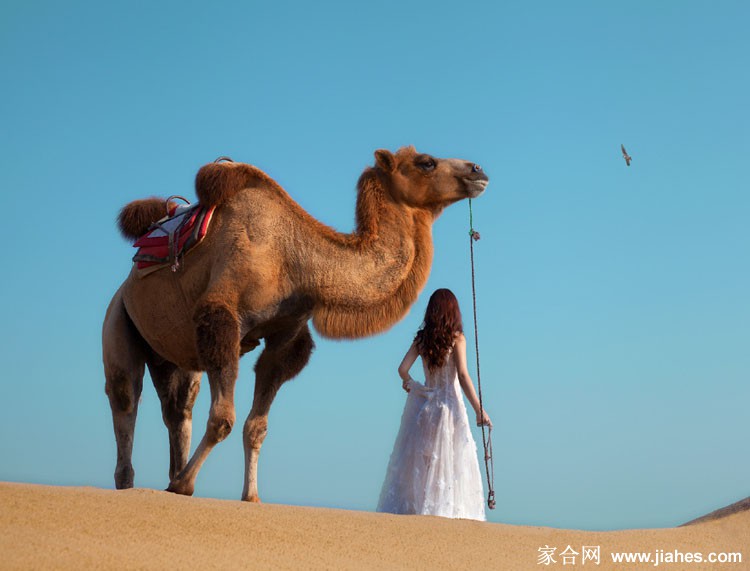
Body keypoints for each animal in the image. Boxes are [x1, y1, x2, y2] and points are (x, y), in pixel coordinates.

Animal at [103, 145, 490, 502]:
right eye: (426, 162)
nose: (478, 169)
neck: (295, 259)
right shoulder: (220, 314)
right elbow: (222, 418)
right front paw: (184, 485)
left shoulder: (285, 338)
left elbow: (256, 426)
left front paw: (250, 496)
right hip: (118, 317)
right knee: (125, 395)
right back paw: (135, 481)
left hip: (174, 354)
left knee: (179, 407)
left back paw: (171, 472)